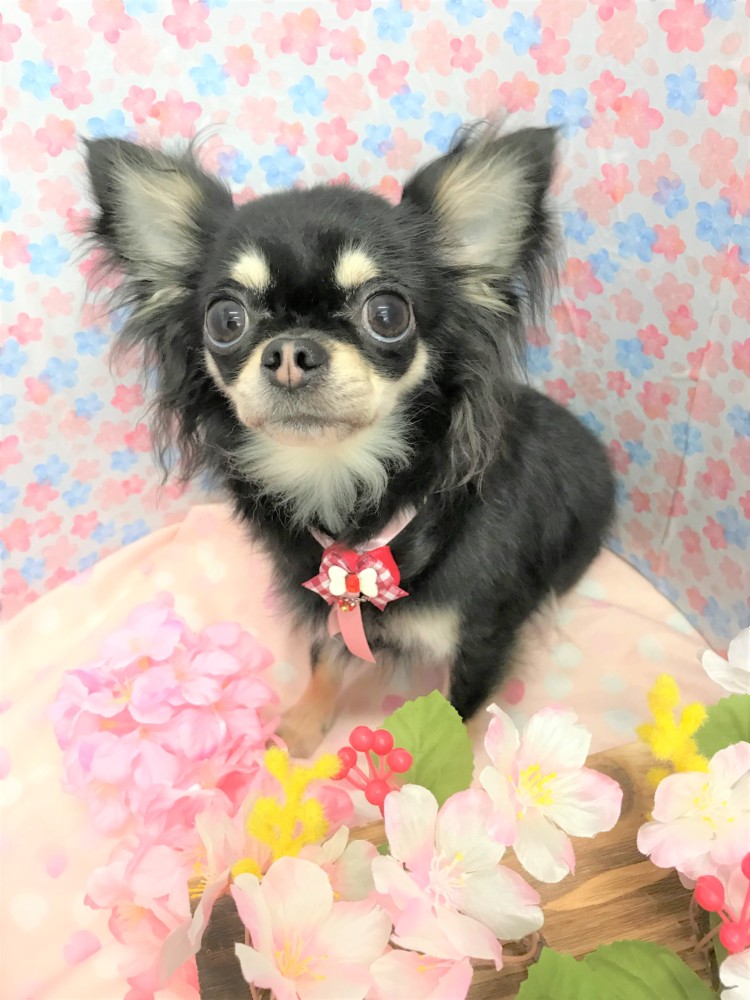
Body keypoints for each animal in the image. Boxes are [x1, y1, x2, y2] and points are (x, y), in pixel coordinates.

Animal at [83, 123, 616, 757]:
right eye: (226, 320)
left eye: (386, 314)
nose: (291, 351)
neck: (344, 483)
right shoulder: (329, 596)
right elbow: (323, 660)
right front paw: (301, 725)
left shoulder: (483, 638)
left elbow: (458, 713)